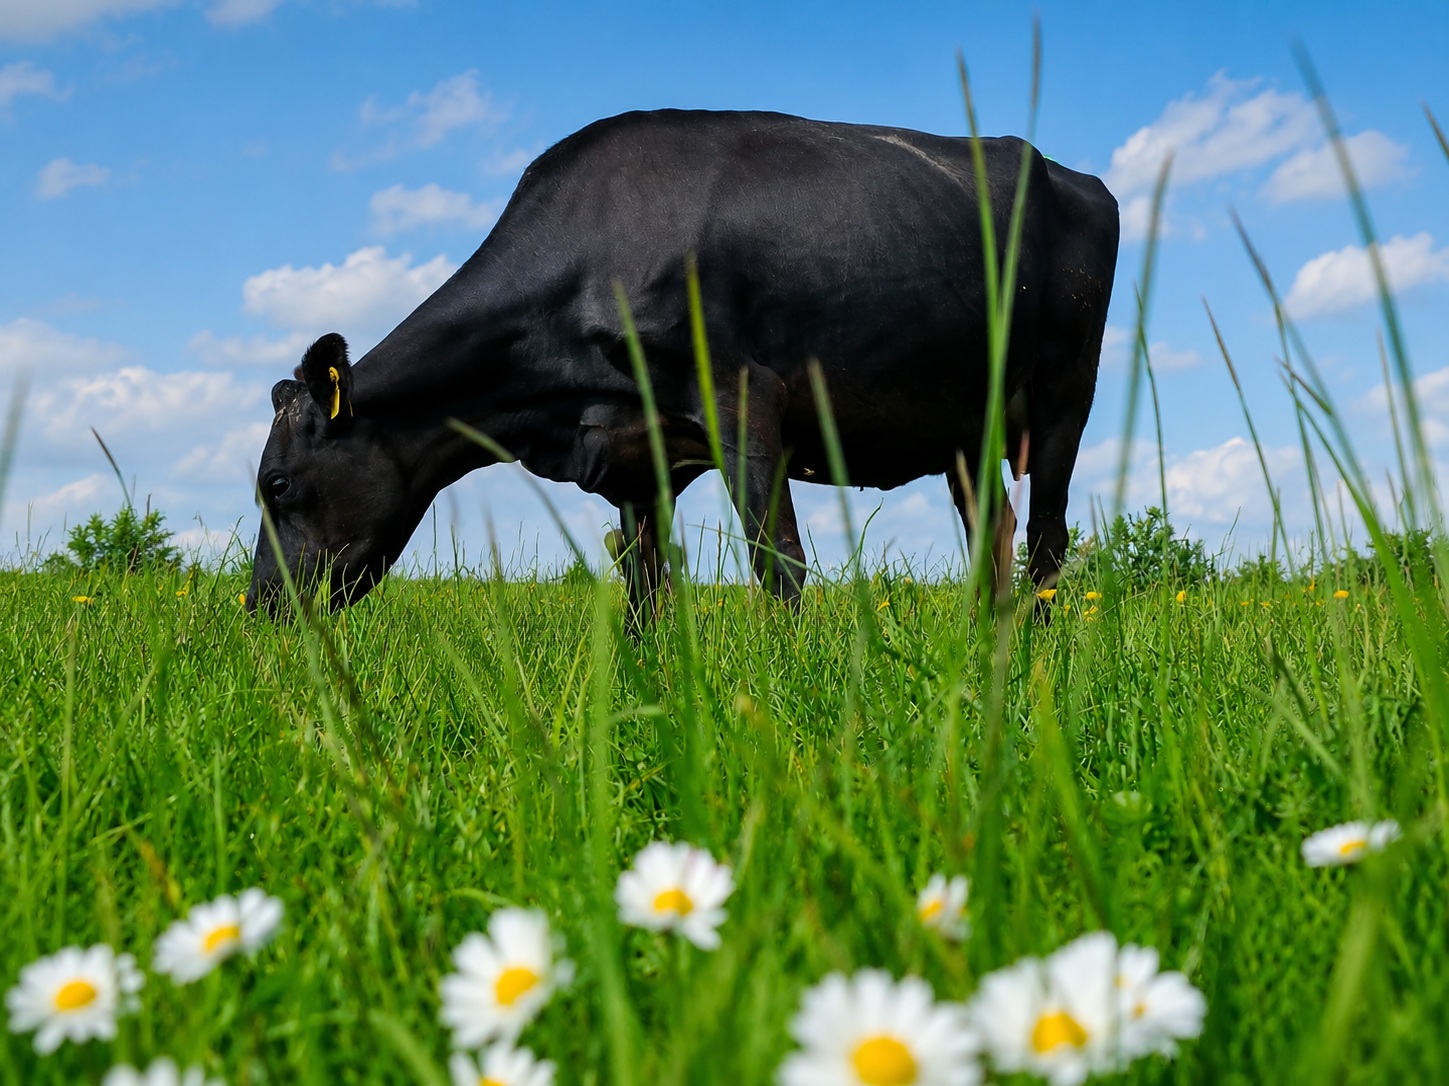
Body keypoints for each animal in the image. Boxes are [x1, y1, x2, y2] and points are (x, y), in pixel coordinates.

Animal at [247, 108, 1118, 617]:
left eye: (277, 485)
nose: (258, 609)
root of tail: (1074, 176)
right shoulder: (633, 453)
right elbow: (645, 590)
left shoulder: (742, 396)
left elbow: (777, 563)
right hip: (963, 428)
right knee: (991, 536)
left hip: (1063, 395)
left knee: (1045, 539)